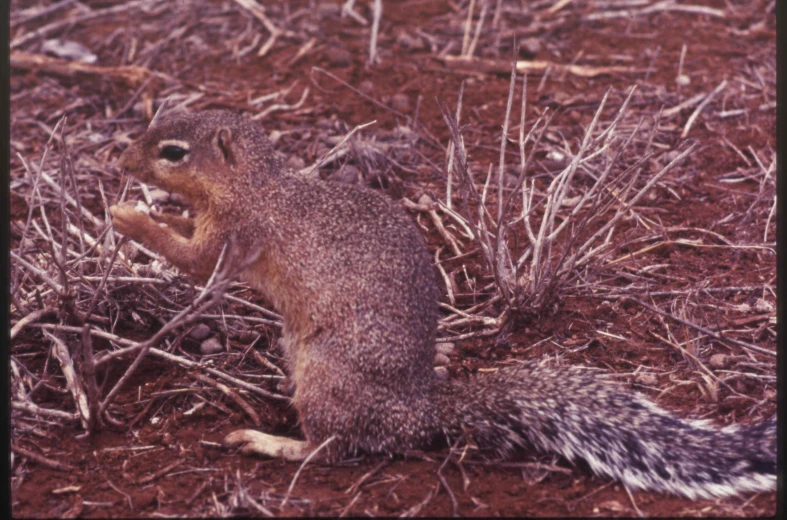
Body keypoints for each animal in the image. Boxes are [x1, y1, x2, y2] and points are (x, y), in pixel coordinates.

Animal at [111, 109, 776, 500]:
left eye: (173, 151)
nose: (120, 160)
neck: (254, 185)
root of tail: (417, 411)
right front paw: (144, 209)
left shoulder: (236, 233)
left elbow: (195, 261)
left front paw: (129, 217)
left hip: (327, 374)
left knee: (334, 449)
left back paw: (269, 441)